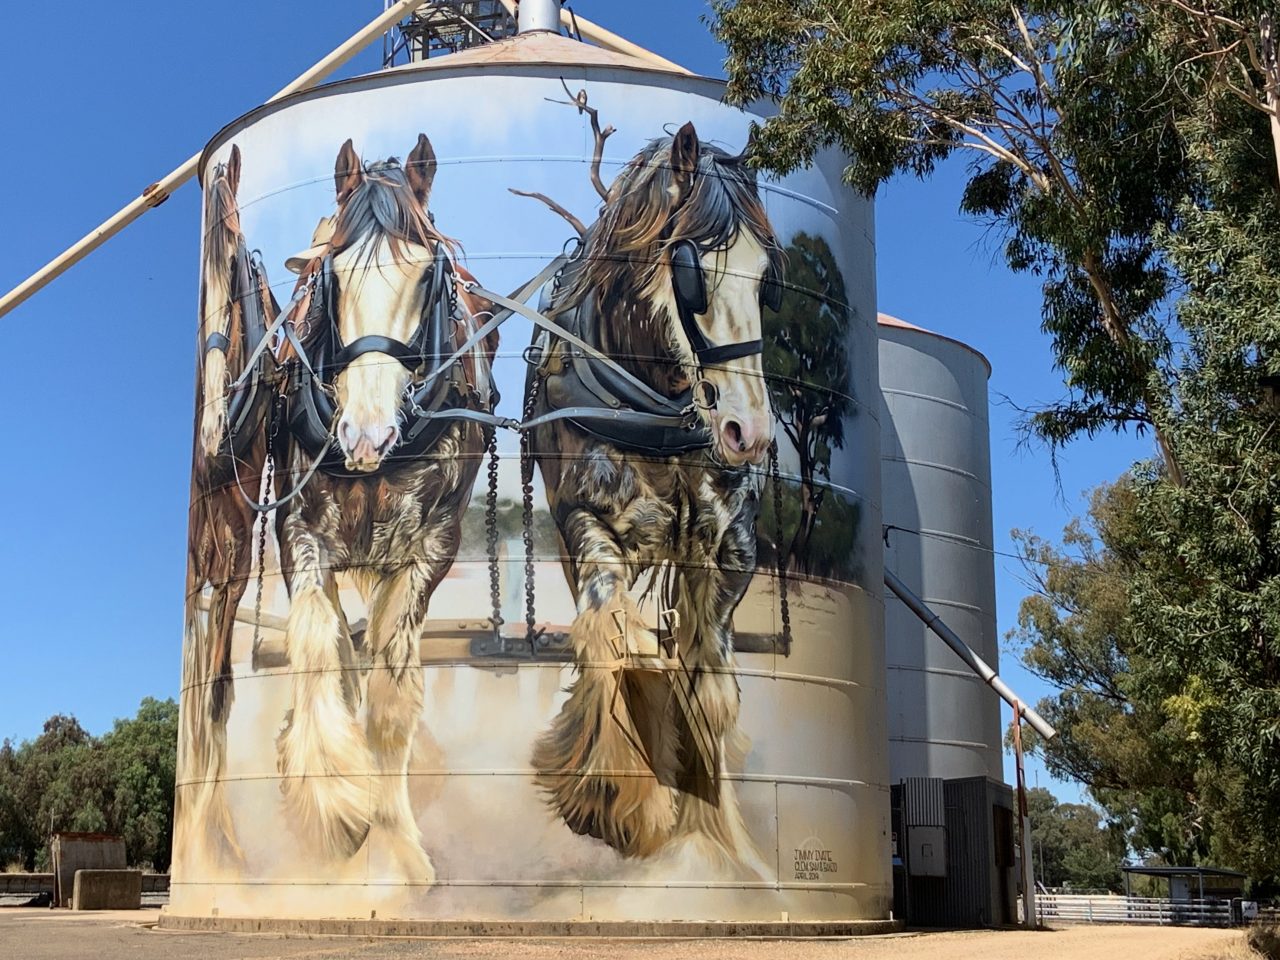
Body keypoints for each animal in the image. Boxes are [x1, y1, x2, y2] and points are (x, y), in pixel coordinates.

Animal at [270, 135, 494, 880]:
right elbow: (320, 649)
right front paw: (334, 801)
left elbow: (393, 695)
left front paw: (395, 846)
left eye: (428, 275)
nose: (367, 435)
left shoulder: (431, 546)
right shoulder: (298, 532)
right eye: (332, 274)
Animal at [524, 124, 783, 870]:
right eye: (689, 268)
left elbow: (711, 683)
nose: (750, 434)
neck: (657, 410)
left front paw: (719, 825)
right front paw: (616, 801)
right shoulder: (588, 523)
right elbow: (614, 643)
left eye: (768, 277)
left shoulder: (730, 547)